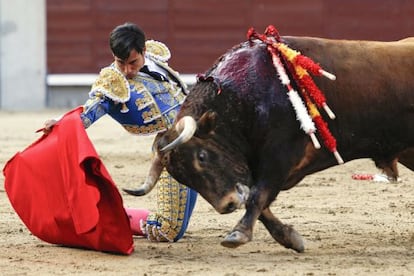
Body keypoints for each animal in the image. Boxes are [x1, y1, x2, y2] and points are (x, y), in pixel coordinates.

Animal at [123, 29, 414, 252]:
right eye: (181, 178)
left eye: (202, 157)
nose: (227, 205)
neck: (243, 99)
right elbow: (258, 201)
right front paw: (290, 238)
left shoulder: (280, 157)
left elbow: (256, 196)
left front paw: (237, 234)